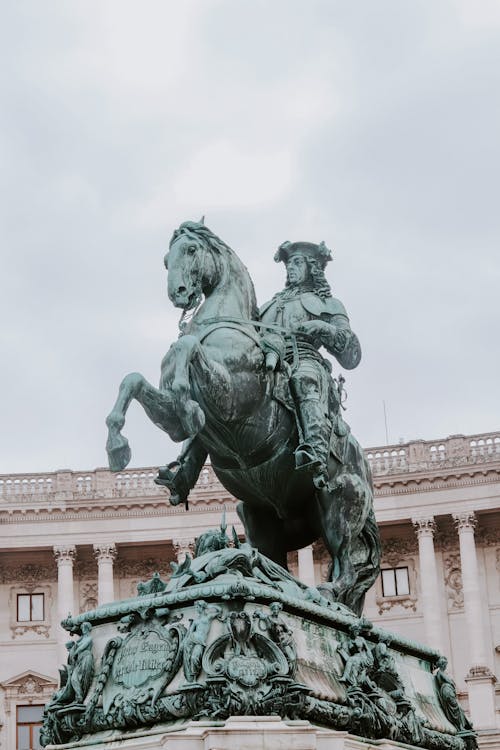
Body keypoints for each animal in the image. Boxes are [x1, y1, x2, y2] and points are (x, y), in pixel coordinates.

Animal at [104, 219, 378, 616]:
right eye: (165, 259)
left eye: (191, 250)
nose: (179, 293)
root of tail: (365, 468)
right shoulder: (173, 411)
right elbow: (135, 380)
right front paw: (118, 444)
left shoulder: (233, 397)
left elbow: (186, 349)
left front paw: (186, 402)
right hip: (257, 515)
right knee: (273, 561)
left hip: (340, 502)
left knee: (345, 565)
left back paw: (327, 596)